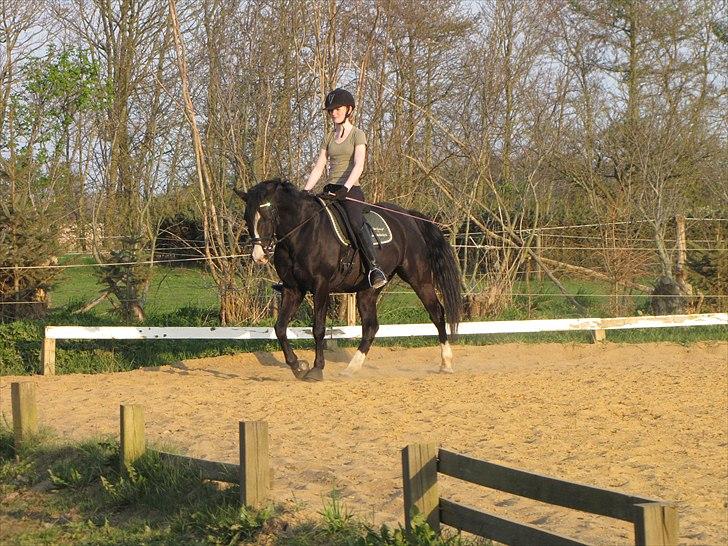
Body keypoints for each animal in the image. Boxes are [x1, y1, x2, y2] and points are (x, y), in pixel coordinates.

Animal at [234, 178, 462, 381]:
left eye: (268, 213)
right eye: (246, 217)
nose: (259, 256)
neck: (302, 233)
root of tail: (408, 218)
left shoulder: (321, 286)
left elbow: (318, 329)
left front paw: (316, 370)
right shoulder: (293, 289)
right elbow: (280, 328)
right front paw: (298, 367)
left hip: (419, 278)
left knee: (437, 313)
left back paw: (447, 363)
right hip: (368, 290)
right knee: (371, 326)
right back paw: (351, 369)